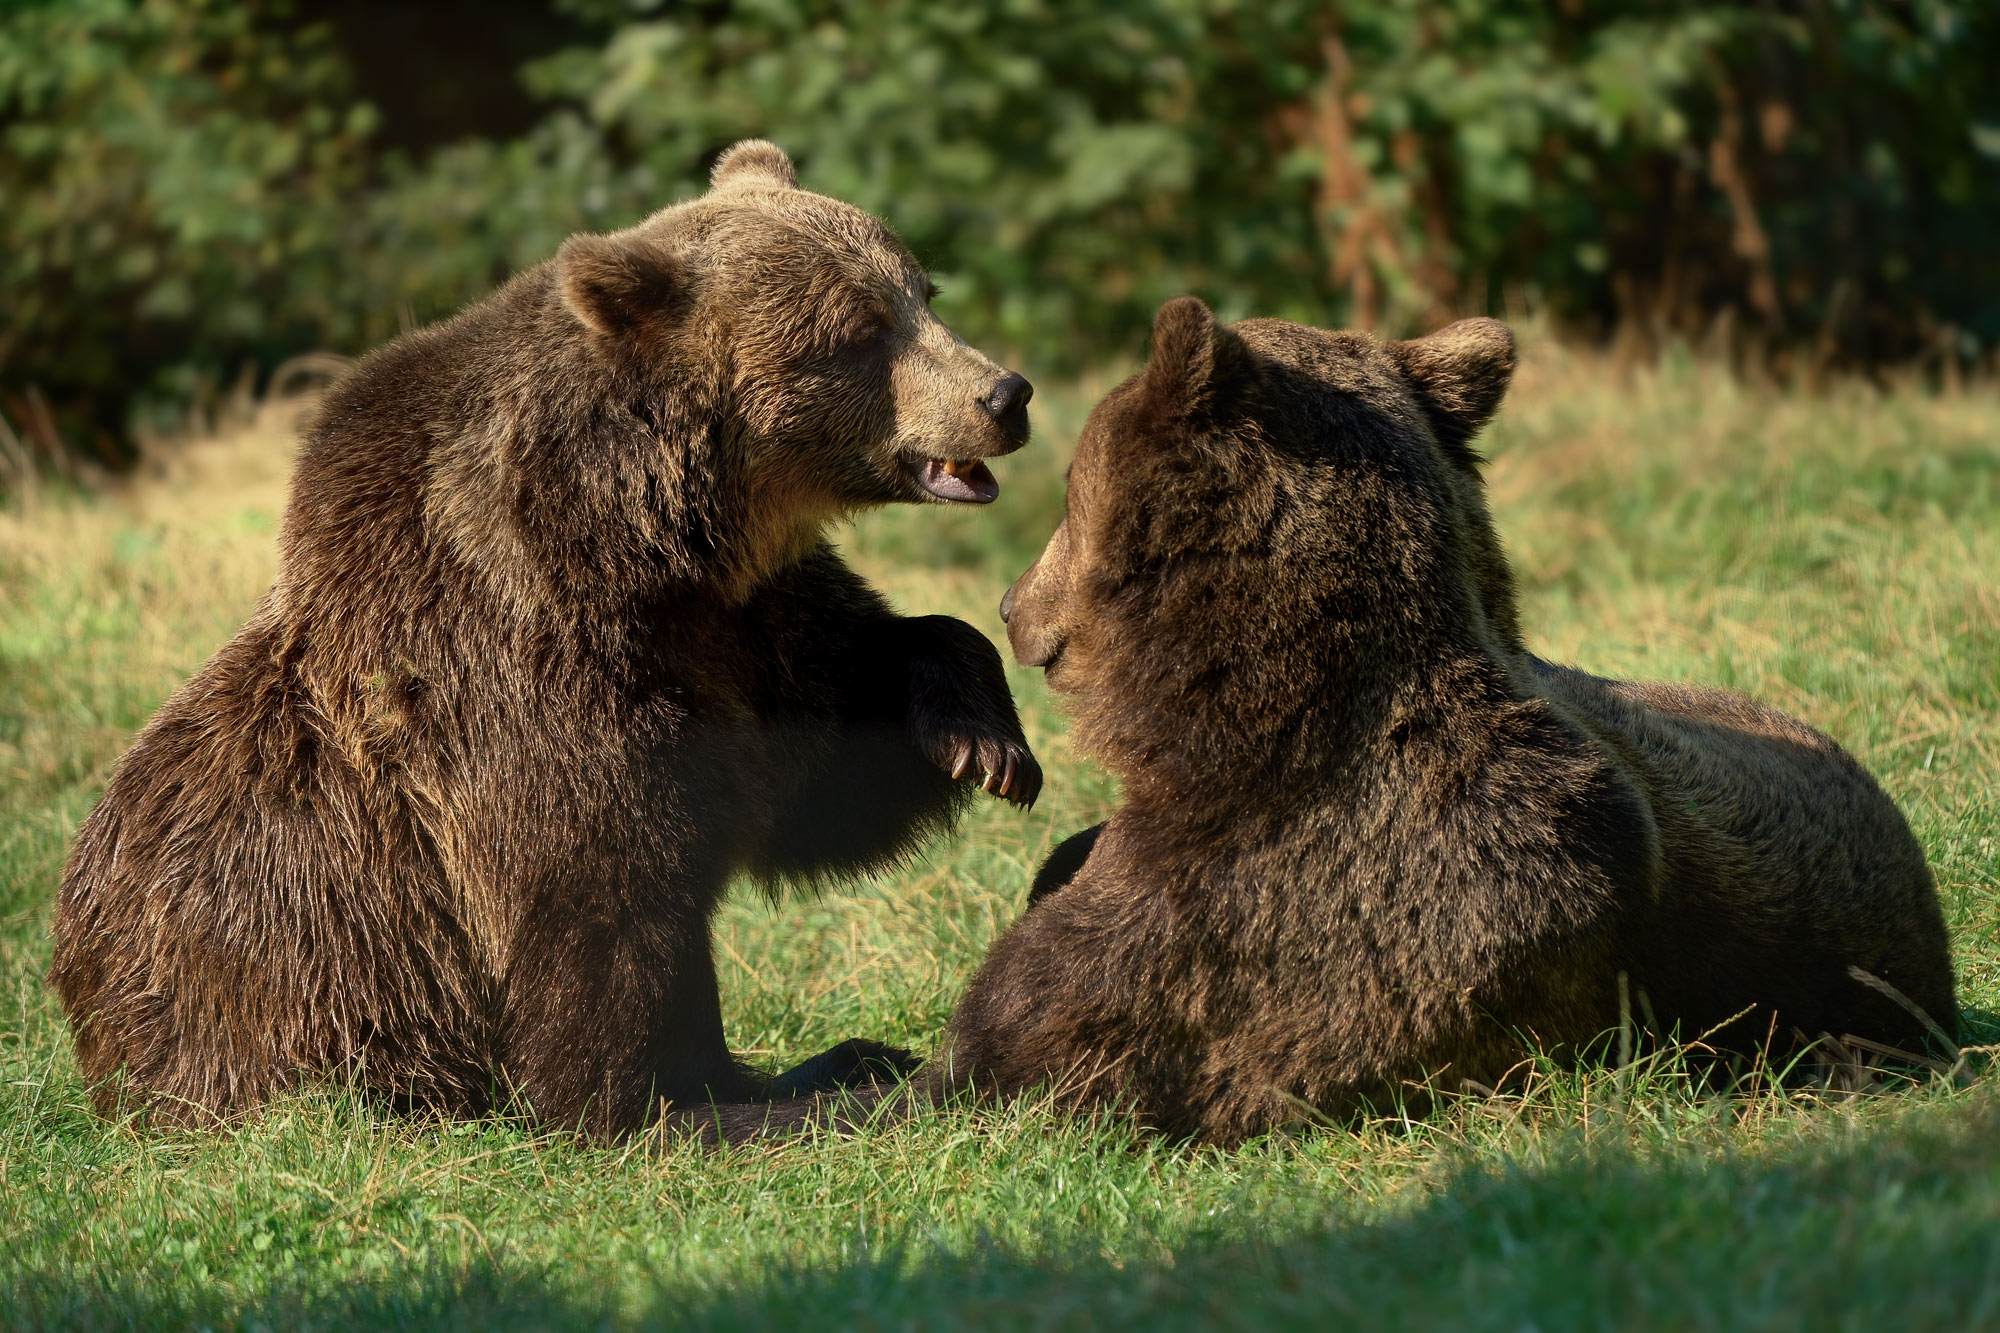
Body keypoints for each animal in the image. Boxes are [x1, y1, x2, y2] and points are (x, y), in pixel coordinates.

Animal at [54, 140, 1040, 1128]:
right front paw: (671, 1104)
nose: (1005, 393)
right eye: (861, 329)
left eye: (922, 291)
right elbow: (597, 914)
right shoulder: (513, 676)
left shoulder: (742, 625)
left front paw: (985, 742)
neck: (639, 547)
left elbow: (829, 745)